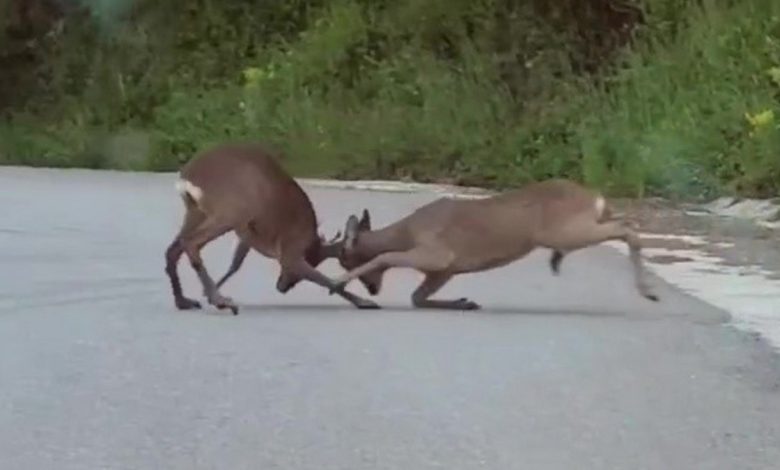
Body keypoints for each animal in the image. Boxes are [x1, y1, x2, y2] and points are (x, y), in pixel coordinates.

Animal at [163, 142, 379, 315]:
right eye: (356, 261)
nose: (282, 287)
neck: (310, 243)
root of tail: (187, 178)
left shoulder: (248, 234)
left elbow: (236, 263)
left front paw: (207, 293)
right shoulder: (290, 251)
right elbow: (326, 279)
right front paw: (365, 302)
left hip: (196, 212)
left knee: (173, 249)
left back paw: (184, 301)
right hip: (230, 210)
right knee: (191, 242)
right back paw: (222, 301)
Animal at [326, 178, 660, 310]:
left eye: (345, 257)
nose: (373, 290)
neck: (407, 231)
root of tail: (594, 197)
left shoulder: (437, 253)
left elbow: (385, 258)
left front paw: (337, 282)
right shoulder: (445, 269)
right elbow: (417, 297)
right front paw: (464, 303)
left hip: (564, 230)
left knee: (626, 227)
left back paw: (648, 291)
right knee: (622, 221)